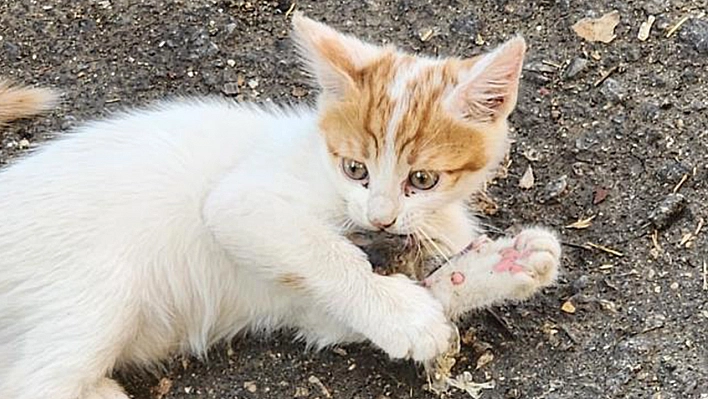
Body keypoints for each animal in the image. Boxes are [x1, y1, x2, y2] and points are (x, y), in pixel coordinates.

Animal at [0, 12, 560, 399]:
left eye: (421, 179)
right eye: (355, 168)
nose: (380, 217)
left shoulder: (314, 311)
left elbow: (381, 298)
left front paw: (502, 266)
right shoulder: (239, 202)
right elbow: (326, 254)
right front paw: (406, 317)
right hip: (101, 289)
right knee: (31, 381)